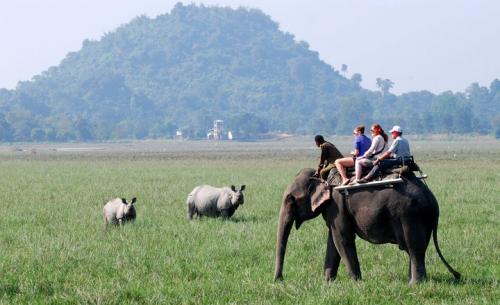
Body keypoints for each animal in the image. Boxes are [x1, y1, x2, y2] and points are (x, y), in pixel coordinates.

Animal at [274, 167, 460, 284]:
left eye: (290, 199)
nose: (279, 280)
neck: (321, 174)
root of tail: (431, 199)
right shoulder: (334, 209)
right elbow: (333, 241)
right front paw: (327, 283)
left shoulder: (337, 204)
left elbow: (342, 239)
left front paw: (356, 283)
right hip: (422, 218)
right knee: (418, 248)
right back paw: (413, 281)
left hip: (410, 214)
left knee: (414, 248)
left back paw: (414, 284)